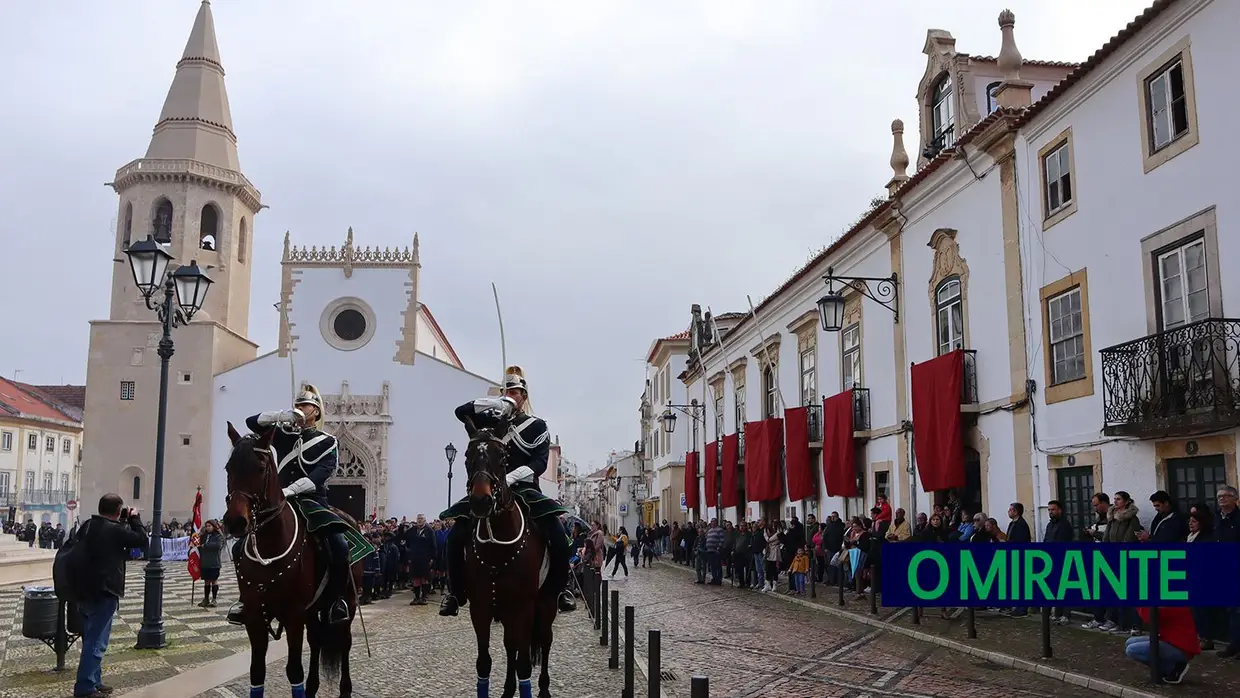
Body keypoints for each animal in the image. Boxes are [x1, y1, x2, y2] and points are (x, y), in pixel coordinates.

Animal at [223, 421, 362, 698]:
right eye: (228, 468)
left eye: (260, 468)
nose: (235, 522)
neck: (268, 548)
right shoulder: (255, 616)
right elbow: (257, 672)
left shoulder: (294, 613)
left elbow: (294, 669)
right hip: (315, 608)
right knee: (317, 640)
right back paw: (312, 687)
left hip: (348, 602)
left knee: (345, 641)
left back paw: (344, 689)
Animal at [466, 426, 558, 698]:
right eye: (467, 456)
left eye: (502, 458)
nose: (481, 501)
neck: (497, 547)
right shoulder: (480, 608)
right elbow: (484, 662)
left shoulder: (524, 608)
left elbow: (525, 664)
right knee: (510, 646)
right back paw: (508, 689)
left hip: (546, 604)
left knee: (545, 641)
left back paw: (544, 689)